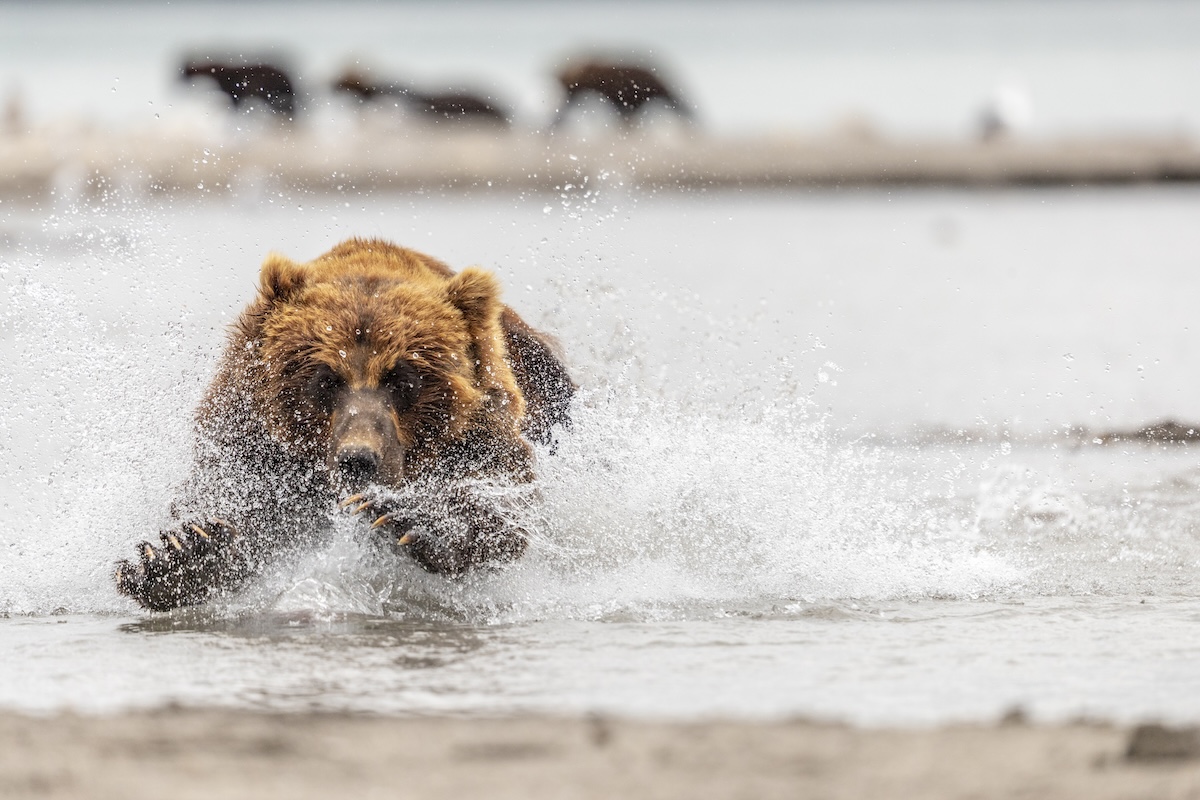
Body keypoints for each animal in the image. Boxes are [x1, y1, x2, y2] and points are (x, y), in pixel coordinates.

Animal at [115, 239, 573, 612]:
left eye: (403, 378)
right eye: (325, 379)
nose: (359, 459)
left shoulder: (479, 433)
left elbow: (502, 503)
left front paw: (409, 517)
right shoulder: (250, 437)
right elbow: (229, 499)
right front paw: (180, 552)